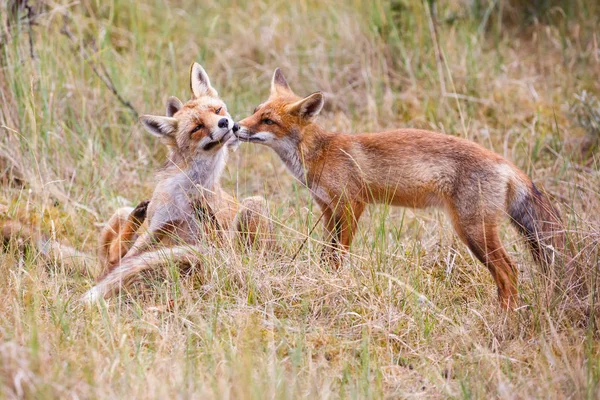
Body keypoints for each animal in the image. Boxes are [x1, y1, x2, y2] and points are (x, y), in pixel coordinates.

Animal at [82, 62, 272, 302]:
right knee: (111, 257)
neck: (187, 195)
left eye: (217, 110)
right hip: (122, 214)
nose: (224, 122)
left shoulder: (208, 237)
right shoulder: (158, 226)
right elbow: (123, 260)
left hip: (254, 204)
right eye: (197, 127)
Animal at [234, 69, 568, 310]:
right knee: (507, 275)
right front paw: (325, 277)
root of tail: (505, 163)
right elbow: (327, 253)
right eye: (255, 111)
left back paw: (504, 318)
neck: (320, 153)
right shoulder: (328, 209)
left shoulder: (352, 205)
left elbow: (340, 253)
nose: (235, 126)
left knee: (509, 272)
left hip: (473, 231)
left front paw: (335, 281)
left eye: (268, 120)